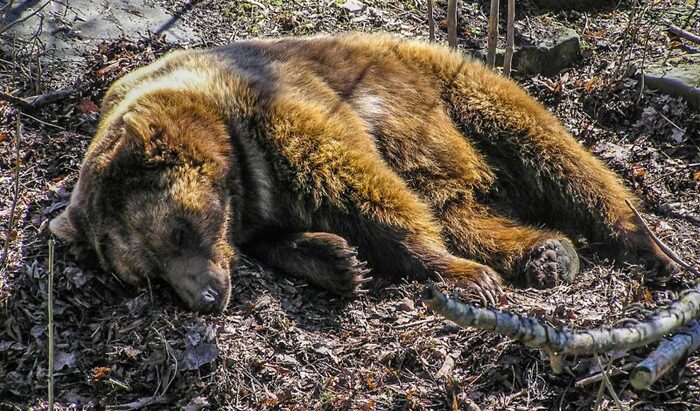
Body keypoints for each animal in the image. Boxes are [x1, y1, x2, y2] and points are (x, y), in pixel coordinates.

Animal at [47, 33, 672, 314]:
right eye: (147, 275)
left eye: (178, 230)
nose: (205, 295)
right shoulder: (252, 214)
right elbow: (289, 238)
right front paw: (339, 261)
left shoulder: (283, 112)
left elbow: (362, 187)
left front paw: (459, 273)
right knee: (461, 209)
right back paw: (544, 252)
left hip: (441, 84)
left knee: (548, 149)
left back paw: (646, 241)